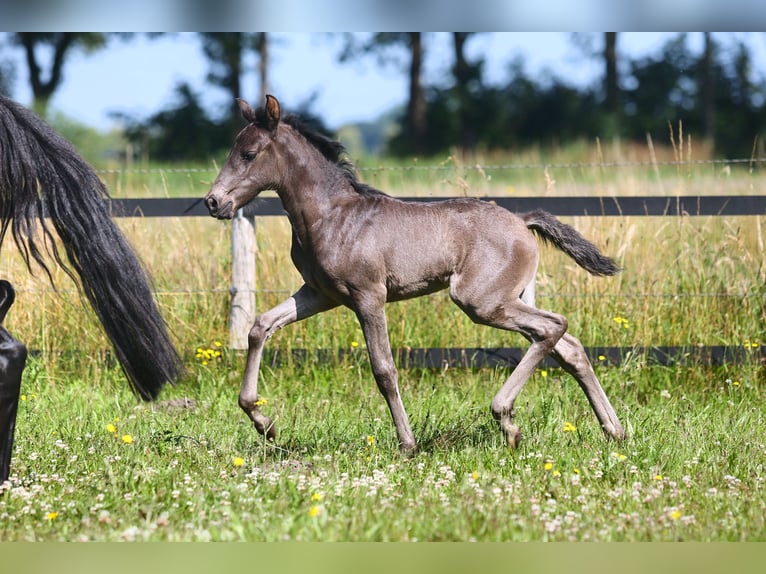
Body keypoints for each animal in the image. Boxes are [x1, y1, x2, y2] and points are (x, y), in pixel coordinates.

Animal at [207, 95, 628, 454]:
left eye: (248, 154)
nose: (214, 202)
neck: (331, 216)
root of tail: (523, 220)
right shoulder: (319, 294)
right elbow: (260, 326)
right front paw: (264, 423)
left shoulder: (368, 296)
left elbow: (384, 369)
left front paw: (408, 444)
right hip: (512, 297)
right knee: (568, 345)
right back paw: (614, 430)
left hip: (481, 301)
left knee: (553, 326)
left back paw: (507, 420)